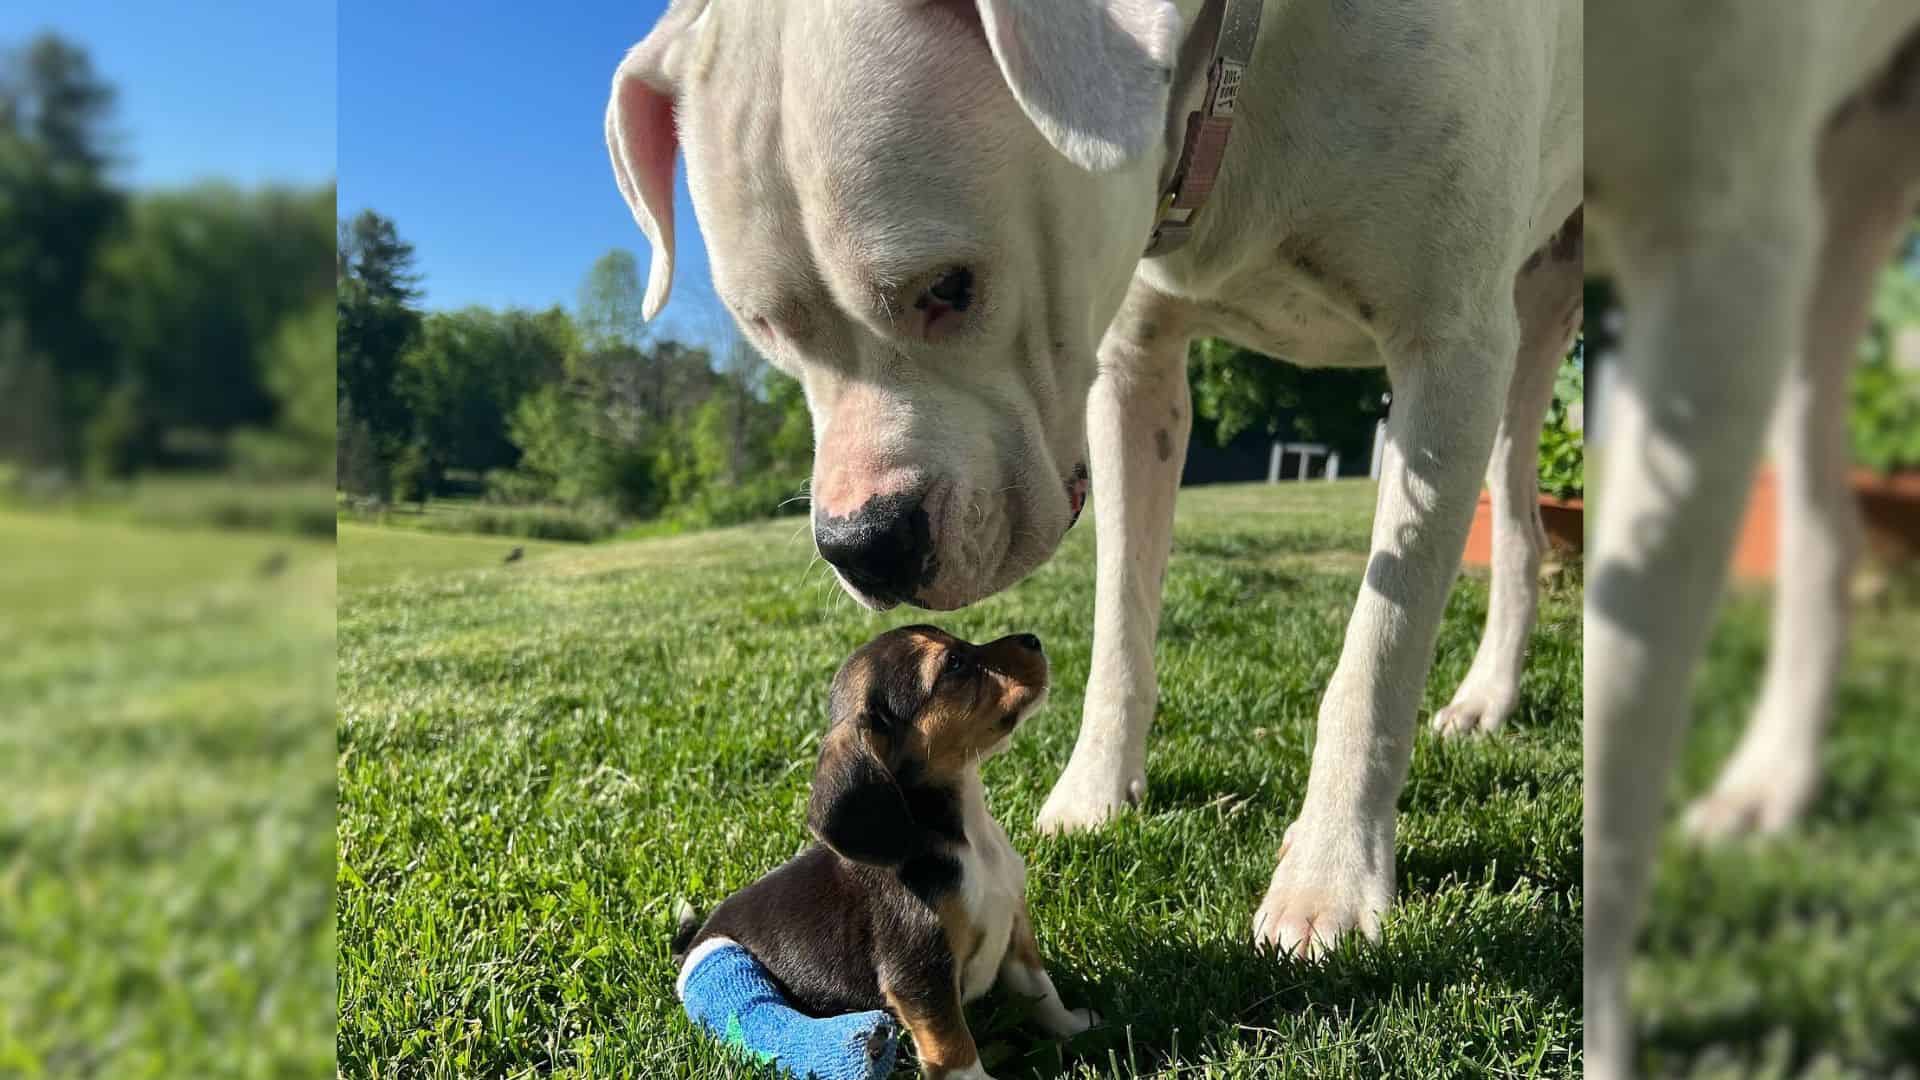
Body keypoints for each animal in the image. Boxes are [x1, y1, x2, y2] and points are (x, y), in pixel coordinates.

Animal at [610, 0, 1574, 957]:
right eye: (767, 330)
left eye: (950, 287)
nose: (863, 545)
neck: (1236, 67)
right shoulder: (1133, 371)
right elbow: (1122, 607)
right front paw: (1097, 789)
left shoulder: (1447, 350)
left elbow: (1380, 646)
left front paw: (1328, 875)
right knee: (1524, 527)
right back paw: (1489, 695)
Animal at [675, 626, 1098, 1068]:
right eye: (954, 664)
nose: (1033, 639)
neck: (966, 838)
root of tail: (692, 944)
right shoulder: (920, 974)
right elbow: (954, 1050)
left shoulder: (1015, 928)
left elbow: (1043, 991)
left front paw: (1076, 1028)